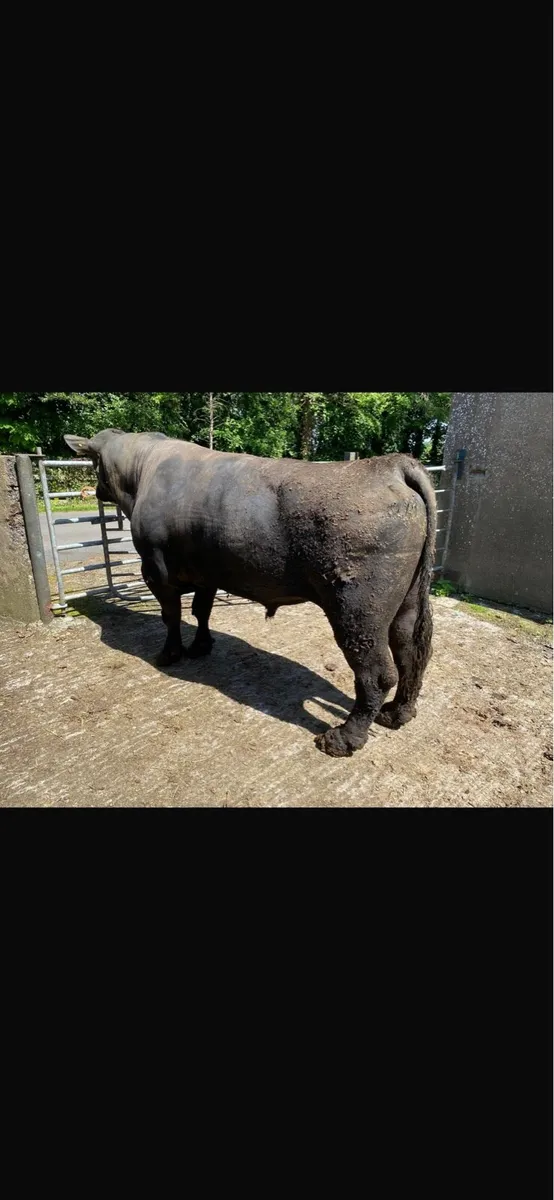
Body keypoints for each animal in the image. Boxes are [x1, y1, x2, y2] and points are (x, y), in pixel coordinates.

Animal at [65, 429, 437, 758]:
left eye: (93, 461)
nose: (94, 491)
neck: (145, 468)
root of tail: (390, 465)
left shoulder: (155, 570)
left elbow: (171, 616)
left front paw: (169, 654)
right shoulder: (207, 573)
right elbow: (201, 610)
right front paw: (201, 646)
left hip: (357, 611)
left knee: (376, 672)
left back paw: (344, 738)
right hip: (406, 601)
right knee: (410, 651)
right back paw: (398, 713)